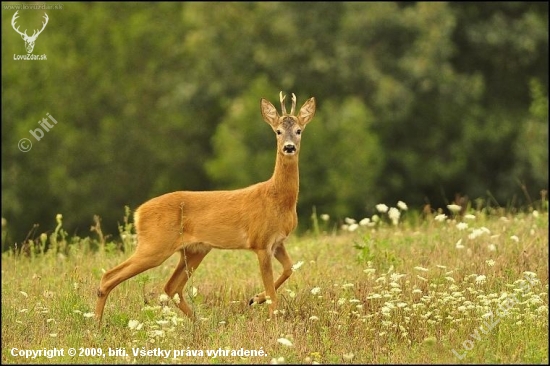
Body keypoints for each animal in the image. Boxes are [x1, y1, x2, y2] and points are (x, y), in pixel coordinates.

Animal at [96, 91, 314, 324]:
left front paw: (255, 298)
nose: (289, 147)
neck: (278, 199)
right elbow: (273, 291)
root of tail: (138, 213)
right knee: (109, 276)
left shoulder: (278, 242)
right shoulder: (261, 242)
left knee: (171, 287)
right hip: (154, 245)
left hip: (195, 250)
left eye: (299, 130)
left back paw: (199, 323)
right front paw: (271, 318)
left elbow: (289, 269)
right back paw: (97, 324)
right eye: (278, 131)